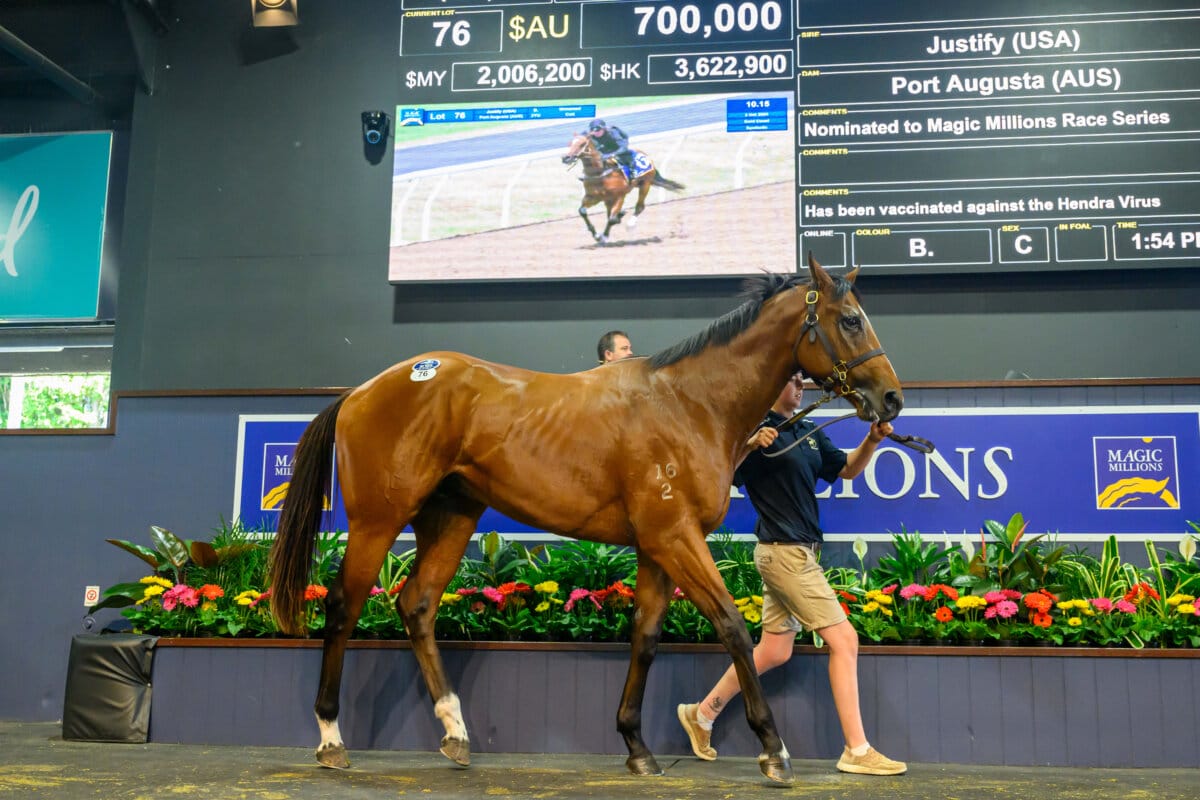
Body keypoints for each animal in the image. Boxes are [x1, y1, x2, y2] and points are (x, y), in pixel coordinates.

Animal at [270, 256, 902, 782]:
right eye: (850, 320)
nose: (891, 399)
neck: (688, 404)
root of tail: (362, 391)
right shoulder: (676, 538)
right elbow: (731, 626)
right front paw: (773, 750)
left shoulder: (657, 546)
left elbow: (645, 637)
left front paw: (636, 747)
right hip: (377, 520)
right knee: (343, 606)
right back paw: (331, 739)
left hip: (451, 517)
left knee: (417, 605)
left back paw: (455, 732)